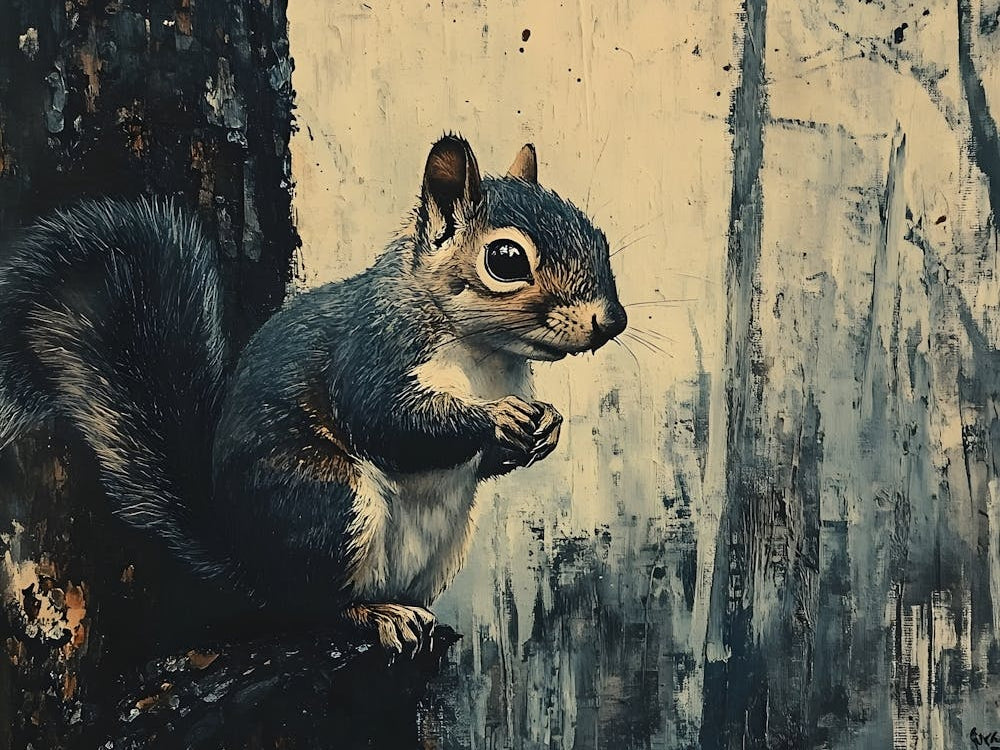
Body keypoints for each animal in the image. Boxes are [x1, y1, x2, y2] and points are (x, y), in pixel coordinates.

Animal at [0, 135, 626, 653]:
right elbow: (387, 421)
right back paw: (375, 614)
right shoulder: (373, 351)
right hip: (327, 504)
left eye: (597, 236)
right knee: (310, 607)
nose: (612, 321)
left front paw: (545, 426)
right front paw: (498, 418)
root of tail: (248, 563)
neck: (486, 355)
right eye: (505, 259)